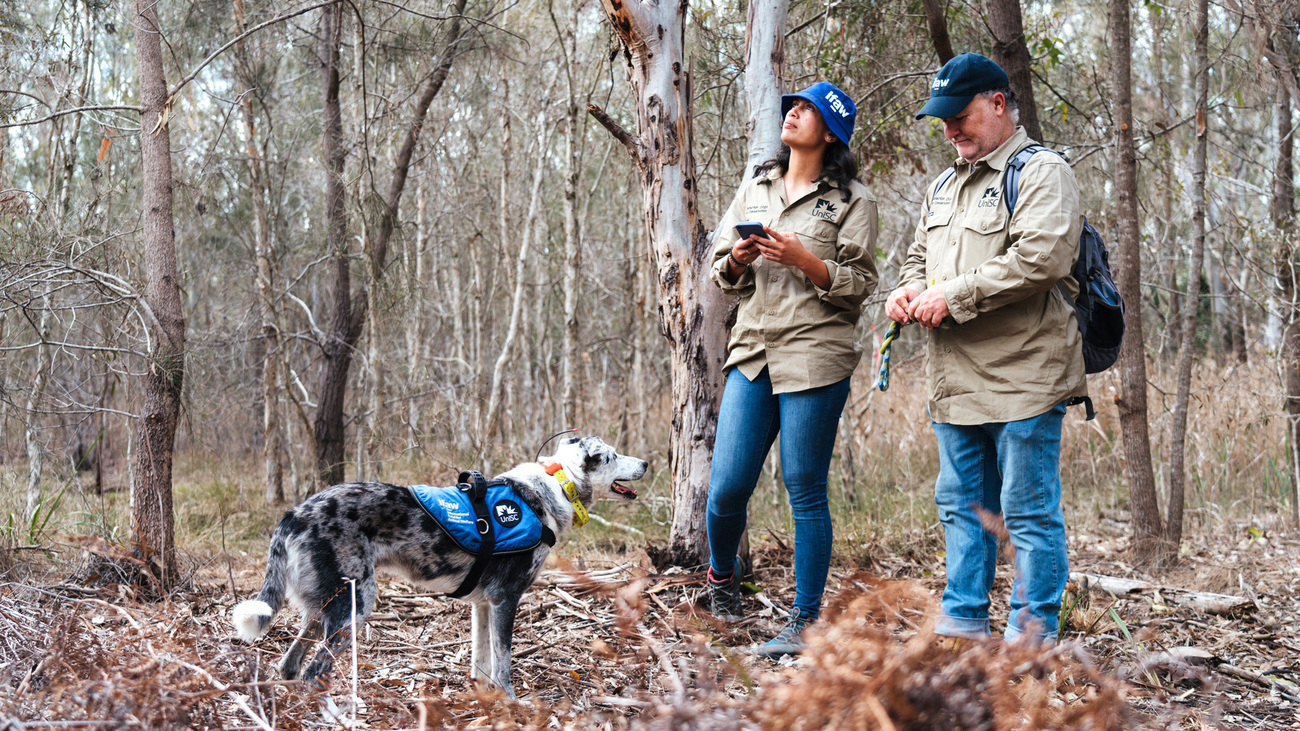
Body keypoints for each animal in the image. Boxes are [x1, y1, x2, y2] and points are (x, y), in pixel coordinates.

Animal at [231, 434, 647, 697]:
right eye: (611, 455)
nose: (645, 462)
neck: (553, 488)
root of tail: (295, 513)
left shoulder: (483, 605)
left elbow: (481, 663)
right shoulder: (506, 600)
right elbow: (503, 664)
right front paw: (512, 704)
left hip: (322, 610)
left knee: (290, 666)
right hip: (354, 606)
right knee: (314, 672)